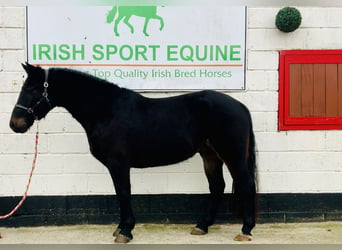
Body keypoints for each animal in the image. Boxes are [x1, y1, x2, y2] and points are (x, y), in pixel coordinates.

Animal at [10, 63, 256, 243]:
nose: (15, 124)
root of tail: (240, 106)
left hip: (232, 156)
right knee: (217, 186)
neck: (106, 110)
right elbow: (122, 194)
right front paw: (121, 228)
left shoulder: (118, 163)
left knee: (245, 184)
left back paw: (246, 229)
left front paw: (125, 231)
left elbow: (123, 193)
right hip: (210, 155)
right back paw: (202, 226)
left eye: (32, 89)